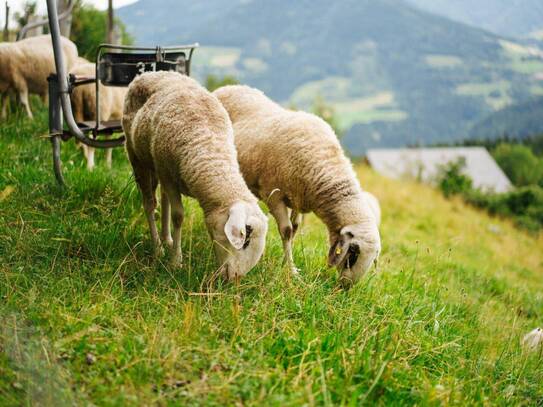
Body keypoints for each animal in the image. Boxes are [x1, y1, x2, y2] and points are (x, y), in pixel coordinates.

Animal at [122, 71, 268, 280]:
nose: (234, 279)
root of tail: (151, 73)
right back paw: (158, 248)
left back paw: (167, 239)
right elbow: (178, 216)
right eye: (246, 239)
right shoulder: (168, 175)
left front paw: (174, 249)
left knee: (163, 199)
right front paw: (176, 262)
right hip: (136, 155)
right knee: (150, 203)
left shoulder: (169, 175)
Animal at [214, 85, 382, 286]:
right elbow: (286, 232)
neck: (324, 164)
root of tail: (228, 87)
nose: (345, 287)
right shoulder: (274, 195)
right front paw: (291, 270)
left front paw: (285, 264)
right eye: (353, 254)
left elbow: (294, 230)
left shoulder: (299, 199)